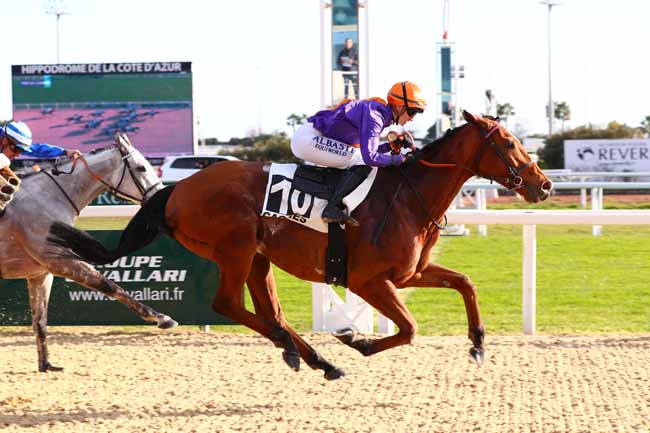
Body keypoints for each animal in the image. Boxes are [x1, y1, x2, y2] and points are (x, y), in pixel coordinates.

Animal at [0, 132, 177, 372]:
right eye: (141, 168)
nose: (161, 199)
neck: (48, 198)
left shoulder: (41, 273)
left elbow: (40, 322)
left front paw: (46, 364)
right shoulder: (58, 260)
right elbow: (110, 286)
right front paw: (160, 317)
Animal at [46, 110, 552, 378]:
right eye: (509, 143)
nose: (544, 186)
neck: (409, 194)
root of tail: (176, 188)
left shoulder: (410, 273)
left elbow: (465, 283)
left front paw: (478, 344)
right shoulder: (368, 281)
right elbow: (408, 328)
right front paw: (357, 340)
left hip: (257, 257)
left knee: (268, 311)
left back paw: (310, 356)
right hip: (235, 249)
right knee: (230, 305)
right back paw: (306, 352)